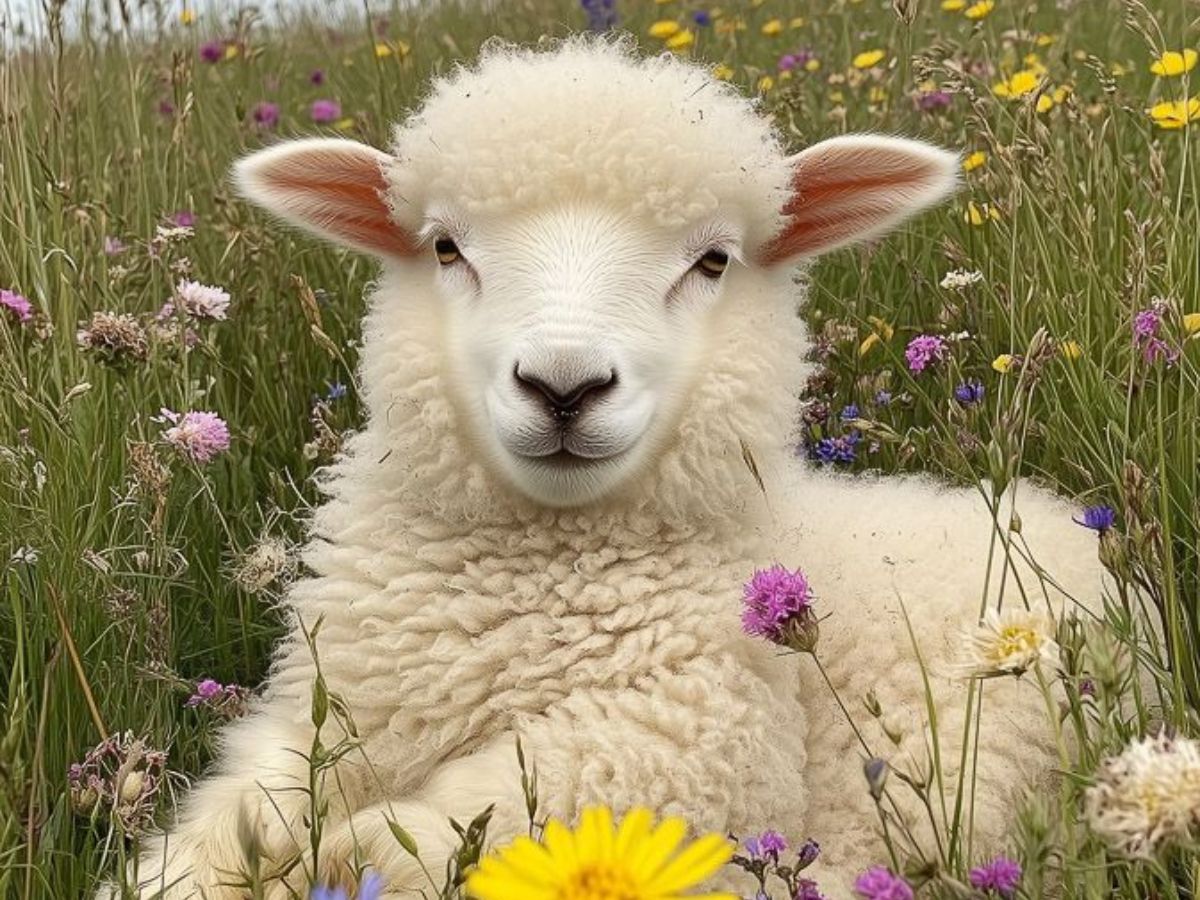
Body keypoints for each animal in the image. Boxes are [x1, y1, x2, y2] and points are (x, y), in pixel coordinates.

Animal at [126, 37, 1105, 899]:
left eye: (713, 260)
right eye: (445, 248)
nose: (564, 385)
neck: (526, 591)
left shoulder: (702, 741)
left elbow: (481, 818)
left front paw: (348, 851)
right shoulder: (319, 713)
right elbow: (235, 823)